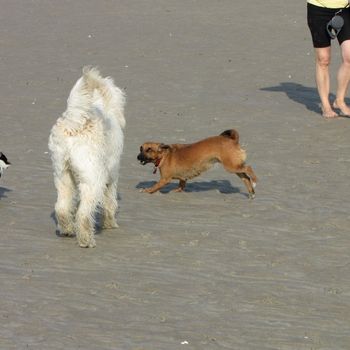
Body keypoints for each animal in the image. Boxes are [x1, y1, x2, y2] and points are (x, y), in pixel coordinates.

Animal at [48, 67, 126, 247]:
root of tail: (73, 125)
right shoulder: (112, 176)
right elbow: (110, 201)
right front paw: (110, 223)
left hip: (62, 175)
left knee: (61, 207)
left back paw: (68, 229)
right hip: (93, 179)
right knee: (83, 214)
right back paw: (86, 240)